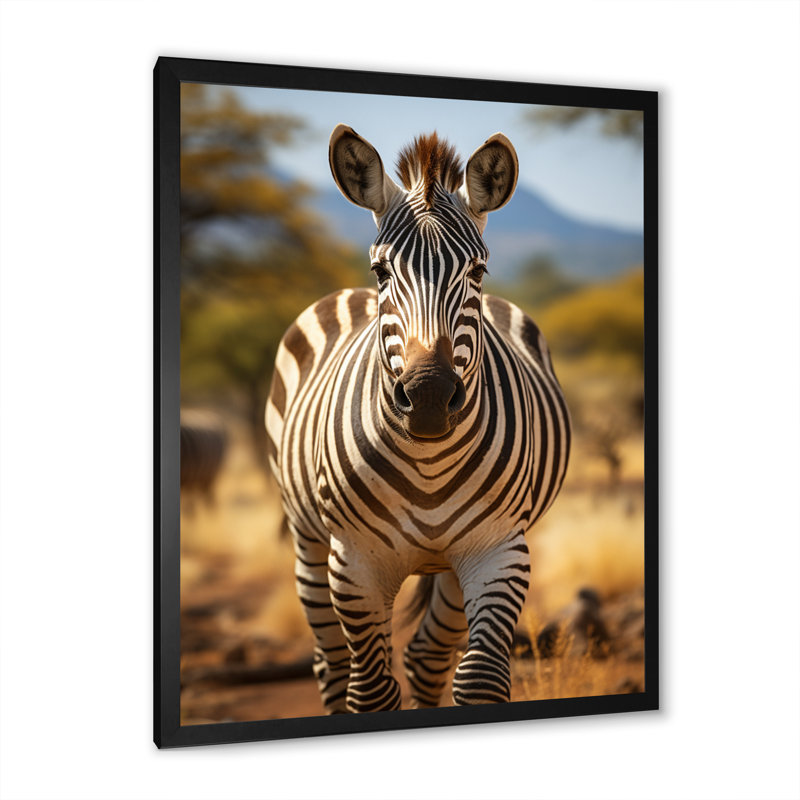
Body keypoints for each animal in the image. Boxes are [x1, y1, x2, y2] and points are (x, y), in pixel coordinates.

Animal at [265, 125, 571, 713]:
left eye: (478, 271)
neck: (428, 460)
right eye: (381, 270)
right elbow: (371, 692)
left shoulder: (500, 550)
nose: (429, 397)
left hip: (451, 564)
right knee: (334, 665)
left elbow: (478, 680)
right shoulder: (354, 563)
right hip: (308, 541)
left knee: (426, 657)